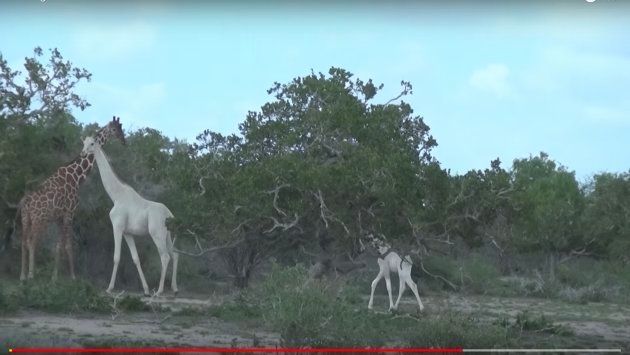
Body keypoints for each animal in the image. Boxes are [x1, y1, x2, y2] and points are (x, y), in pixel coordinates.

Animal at [18, 117, 126, 280]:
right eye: (115, 129)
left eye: (120, 127)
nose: (123, 140)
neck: (76, 178)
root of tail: (26, 202)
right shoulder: (69, 213)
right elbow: (66, 245)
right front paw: (66, 277)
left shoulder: (59, 217)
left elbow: (60, 245)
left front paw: (60, 276)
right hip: (39, 218)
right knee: (31, 241)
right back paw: (31, 275)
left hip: (26, 218)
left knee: (24, 241)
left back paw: (22, 275)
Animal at [81, 136, 179, 298]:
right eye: (83, 143)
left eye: (92, 143)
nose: (83, 153)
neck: (116, 196)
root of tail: (170, 215)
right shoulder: (128, 233)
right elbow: (135, 258)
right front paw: (145, 290)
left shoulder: (117, 226)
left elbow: (116, 257)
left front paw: (109, 288)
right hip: (167, 235)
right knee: (175, 254)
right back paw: (175, 288)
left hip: (157, 233)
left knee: (165, 257)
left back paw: (159, 291)